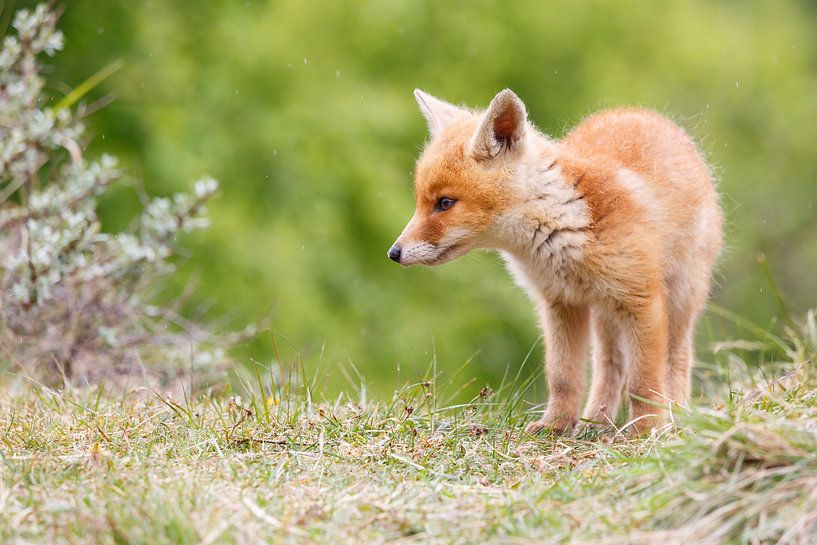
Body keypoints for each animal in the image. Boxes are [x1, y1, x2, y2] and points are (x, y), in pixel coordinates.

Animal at [388, 89, 723, 434]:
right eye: (421, 202)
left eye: (444, 203)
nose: (394, 253)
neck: (564, 230)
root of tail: (640, 112)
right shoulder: (561, 303)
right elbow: (563, 378)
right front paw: (556, 426)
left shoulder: (641, 301)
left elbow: (644, 382)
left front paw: (645, 431)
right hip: (605, 314)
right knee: (610, 367)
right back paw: (596, 421)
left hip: (679, 298)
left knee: (677, 359)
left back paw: (676, 418)